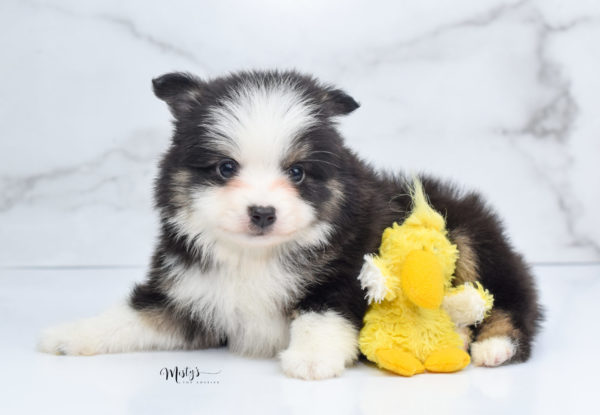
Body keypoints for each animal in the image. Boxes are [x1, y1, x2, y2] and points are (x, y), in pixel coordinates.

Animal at [38, 70, 544, 380]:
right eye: (225, 168)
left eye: (297, 172)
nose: (263, 212)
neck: (254, 256)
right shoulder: (185, 293)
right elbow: (129, 316)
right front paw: (68, 335)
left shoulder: (353, 267)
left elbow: (323, 308)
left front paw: (311, 358)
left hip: (468, 234)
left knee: (512, 301)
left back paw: (489, 344)